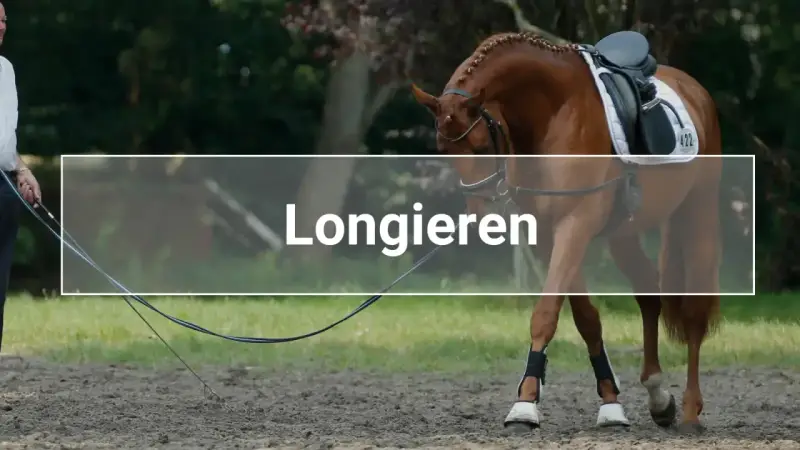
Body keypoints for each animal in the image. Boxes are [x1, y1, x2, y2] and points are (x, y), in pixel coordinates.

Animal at [410, 30, 722, 434]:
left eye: (479, 147)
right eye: (443, 149)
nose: (478, 211)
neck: (553, 112)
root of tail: (694, 88)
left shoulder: (575, 225)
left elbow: (545, 314)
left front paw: (524, 405)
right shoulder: (546, 234)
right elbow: (586, 318)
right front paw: (610, 404)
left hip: (698, 209)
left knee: (694, 312)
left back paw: (689, 411)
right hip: (623, 234)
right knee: (648, 294)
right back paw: (658, 397)